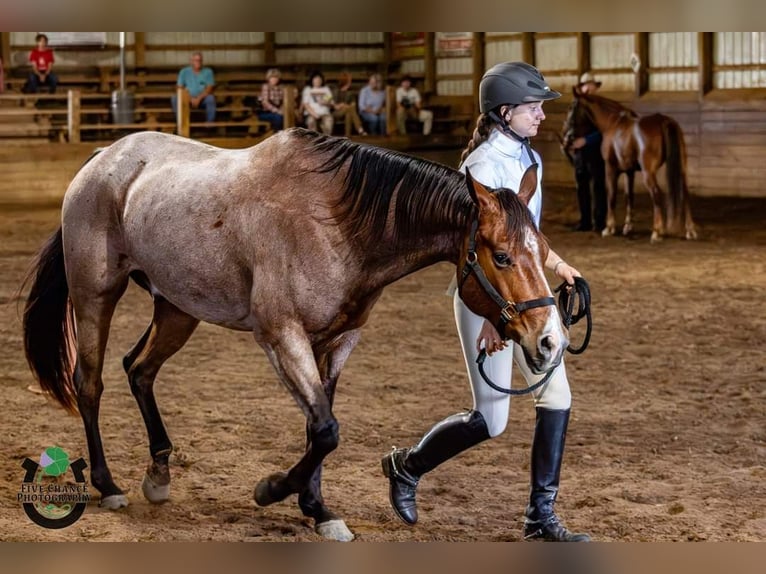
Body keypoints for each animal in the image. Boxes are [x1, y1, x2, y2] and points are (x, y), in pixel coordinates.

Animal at [22, 128, 568, 544]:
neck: (336, 222)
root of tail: (103, 159)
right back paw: (107, 484)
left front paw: (317, 509)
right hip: (96, 296)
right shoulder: (281, 336)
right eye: (502, 255)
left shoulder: (338, 342)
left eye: (541, 249)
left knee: (139, 370)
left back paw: (158, 475)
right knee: (89, 383)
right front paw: (272, 489)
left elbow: (319, 427)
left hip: (177, 309)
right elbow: (326, 429)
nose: (550, 340)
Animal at [560, 86, 700, 242]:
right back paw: (690, 231)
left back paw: (657, 232)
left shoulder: (610, 168)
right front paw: (627, 227)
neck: (612, 123)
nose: (566, 135)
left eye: (571, 107)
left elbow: (611, 195)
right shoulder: (629, 171)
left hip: (648, 172)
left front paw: (609, 228)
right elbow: (629, 196)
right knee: (685, 193)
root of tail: (664, 121)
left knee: (656, 193)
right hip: (681, 169)